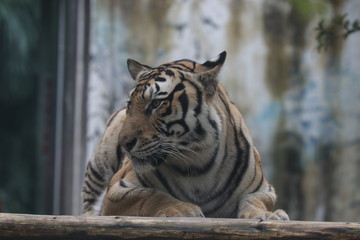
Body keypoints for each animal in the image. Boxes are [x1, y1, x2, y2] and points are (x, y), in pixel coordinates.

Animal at [81, 51, 290, 220]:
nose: (124, 143)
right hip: (99, 164)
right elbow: (152, 196)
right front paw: (181, 209)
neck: (199, 162)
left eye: (156, 103)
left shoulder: (264, 189)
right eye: (129, 104)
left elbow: (255, 201)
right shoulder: (118, 189)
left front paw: (268, 215)